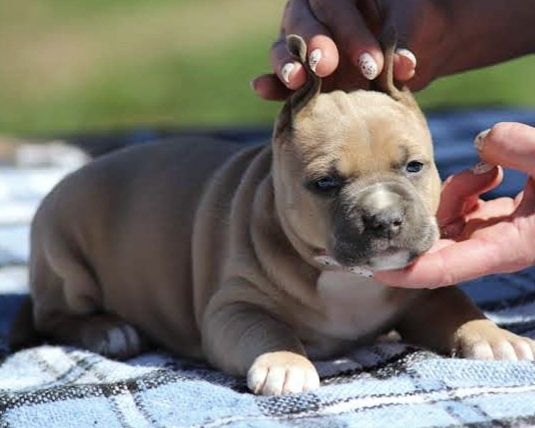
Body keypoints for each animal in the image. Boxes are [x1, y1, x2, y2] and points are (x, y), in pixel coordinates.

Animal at [28, 31, 535, 396]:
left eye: (415, 166)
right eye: (325, 184)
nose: (387, 220)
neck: (346, 277)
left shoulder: (423, 292)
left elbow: (454, 304)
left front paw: (493, 336)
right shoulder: (233, 306)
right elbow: (266, 329)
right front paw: (284, 364)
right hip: (62, 255)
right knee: (50, 317)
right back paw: (109, 331)